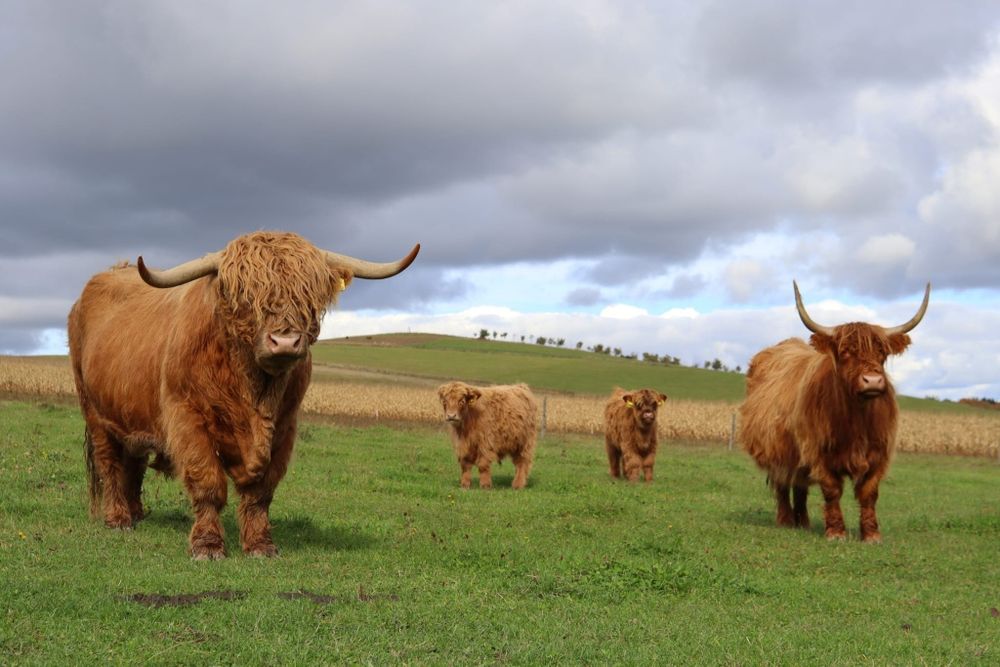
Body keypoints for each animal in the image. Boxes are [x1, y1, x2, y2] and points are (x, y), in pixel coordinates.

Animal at [68, 231, 419, 559]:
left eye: (308, 294)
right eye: (245, 296)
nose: (285, 342)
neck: (254, 393)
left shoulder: (285, 426)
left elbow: (260, 491)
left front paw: (260, 545)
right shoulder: (187, 417)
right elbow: (207, 482)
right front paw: (207, 546)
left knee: (134, 462)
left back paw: (137, 513)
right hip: (94, 412)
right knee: (110, 464)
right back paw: (118, 519)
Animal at [738, 281, 930, 543]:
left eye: (882, 353)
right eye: (845, 352)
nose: (872, 381)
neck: (858, 419)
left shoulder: (879, 454)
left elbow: (869, 493)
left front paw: (871, 534)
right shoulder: (818, 452)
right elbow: (831, 490)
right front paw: (836, 532)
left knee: (799, 485)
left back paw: (803, 522)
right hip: (777, 449)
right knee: (783, 483)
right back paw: (786, 521)